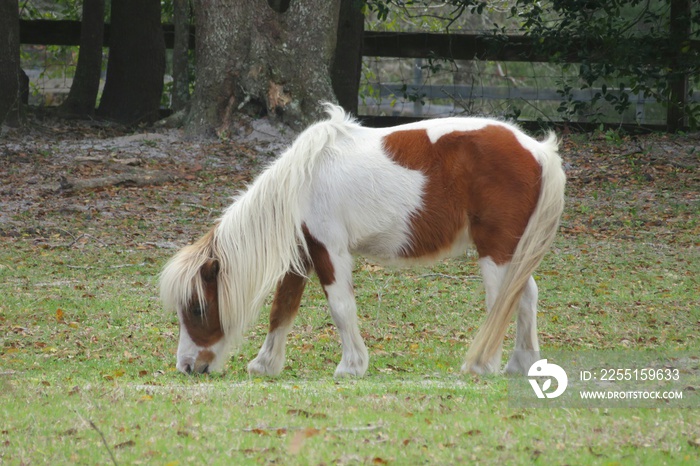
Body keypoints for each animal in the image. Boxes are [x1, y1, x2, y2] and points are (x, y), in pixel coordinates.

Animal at [159, 104, 564, 376]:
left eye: (196, 308)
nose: (188, 366)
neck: (301, 182)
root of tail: (537, 150)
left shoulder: (328, 249)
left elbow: (340, 307)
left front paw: (351, 366)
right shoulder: (302, 254)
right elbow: (283, 307)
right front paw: (265, 364)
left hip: (495, 249)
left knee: (501, 301)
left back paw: (483, 365)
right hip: (514, 250)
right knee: (525, 296)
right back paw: (521, 365)